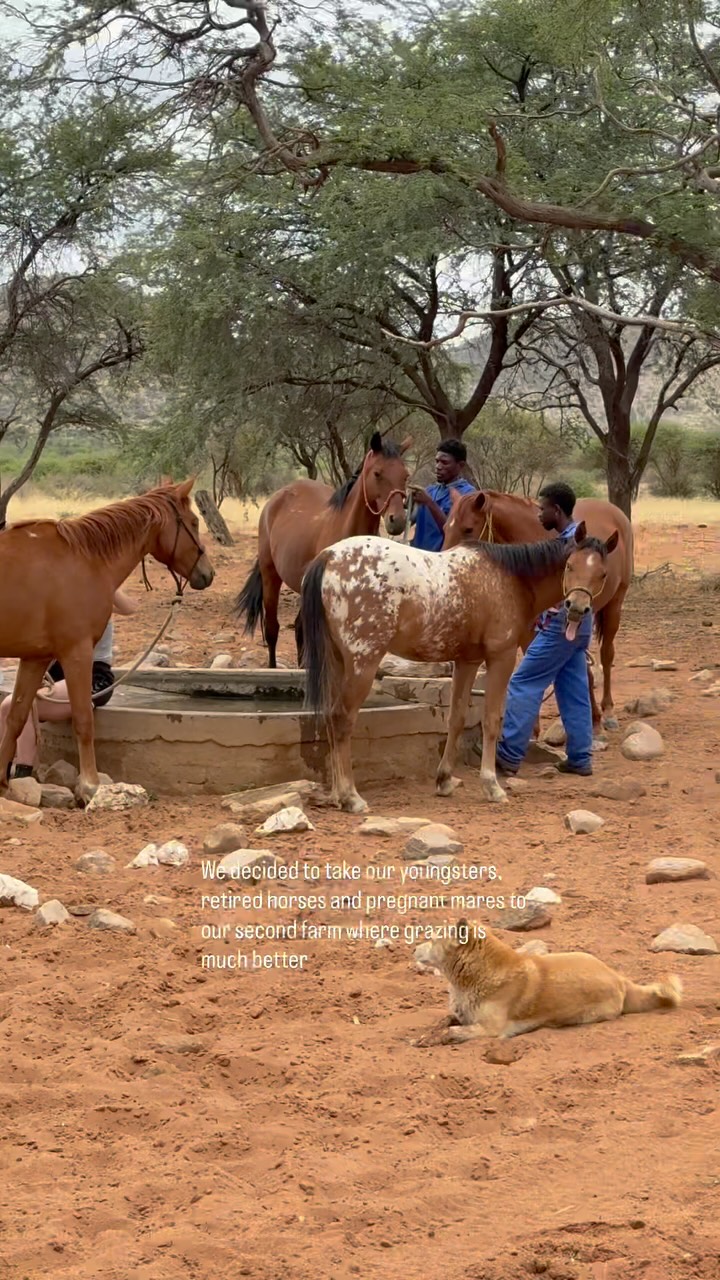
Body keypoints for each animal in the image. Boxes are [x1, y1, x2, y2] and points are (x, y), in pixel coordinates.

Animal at [0, 478, 214, 803]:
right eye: (193, 521)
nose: (208, 573)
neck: (84, 559)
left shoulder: (35, 658)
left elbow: (15, 718)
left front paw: (2, 782)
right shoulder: (76, 651)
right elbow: (83, 718)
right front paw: (89, 785)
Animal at [235, 431, 411, 668]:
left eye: (405, 475)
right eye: (377, 473)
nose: (397, 521)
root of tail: (277, 498)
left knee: (300, 630)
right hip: (270, 575)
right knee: (273, 629)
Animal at [300, 523, 618, 813]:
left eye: (602, 573)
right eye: (570, 566)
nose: (576, 608)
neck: (510, 579)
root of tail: (329, 556)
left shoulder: (467, 661)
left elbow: (456, 718)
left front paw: (444, 780)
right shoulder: (500, 657)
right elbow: (491, 720)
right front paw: (492, 785)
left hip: (339, 662)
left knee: (330, 718)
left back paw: (337, 795)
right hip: (362, 662)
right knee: (342, 719)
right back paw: (351, 797)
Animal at [442, 490, 633, 730]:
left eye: (468, 529)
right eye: (445, 528)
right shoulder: (526, 630)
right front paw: (532, 727)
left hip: (615, 604)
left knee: (607, 655)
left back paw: (607, 711)